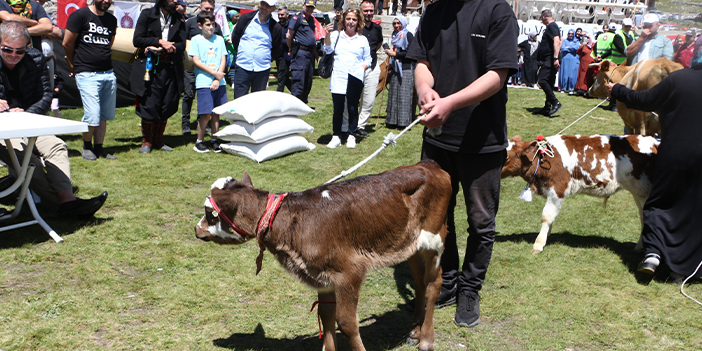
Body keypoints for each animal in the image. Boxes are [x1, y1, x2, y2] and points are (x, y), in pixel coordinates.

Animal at [195, 162, 454, 351]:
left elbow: (347, 323)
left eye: (210, 214)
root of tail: (429, 166)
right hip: (411, 246)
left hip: (434, 239)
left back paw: (426, 340)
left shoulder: (349, 273)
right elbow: (326, 315)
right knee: (420, 283)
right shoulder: (322, 276)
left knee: (433, 284)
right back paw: (415, 332)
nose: (196, 230)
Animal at [500, 135, 660, 253]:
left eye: (506, 157)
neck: (543, 158)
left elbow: (546, 216)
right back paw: (639, 246)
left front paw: (538, 244)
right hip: (638, 192)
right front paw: (546, 236)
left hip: (643, 192)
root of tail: (653, 141)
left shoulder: (557, 190)